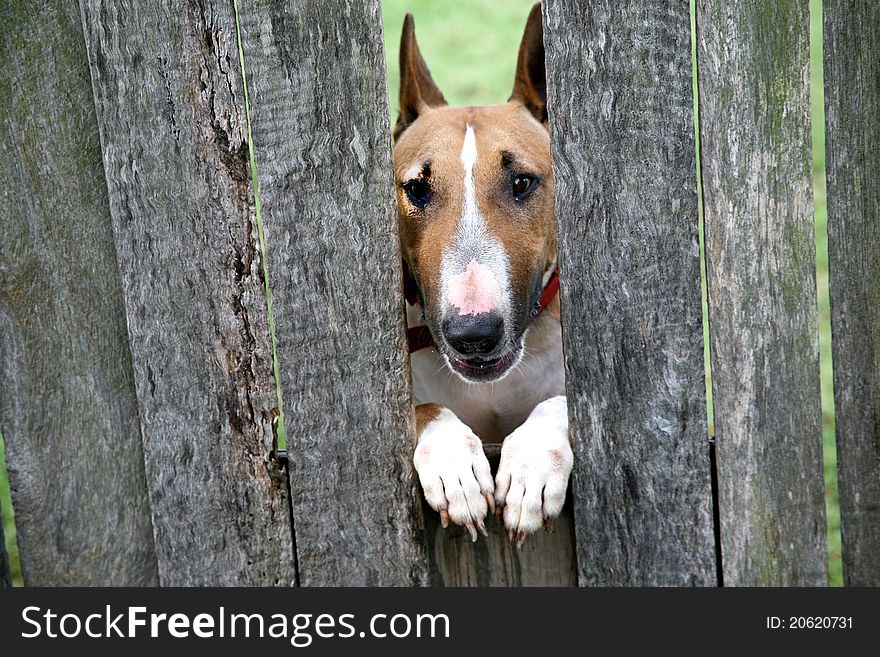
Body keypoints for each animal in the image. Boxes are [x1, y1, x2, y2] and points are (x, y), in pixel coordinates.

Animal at [390, 3, 572, 548]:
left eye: (522, 181)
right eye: (417, 188)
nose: (473, 335)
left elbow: (561, 402)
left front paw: (532, 467)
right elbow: (422, 410)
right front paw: (455, 466)